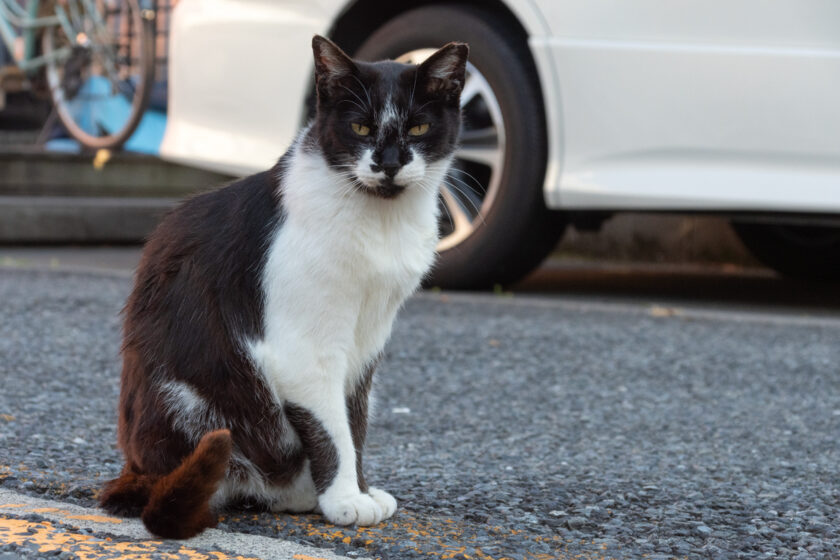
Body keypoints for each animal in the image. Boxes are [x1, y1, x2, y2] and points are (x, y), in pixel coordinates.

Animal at [100, 36, 466, 540]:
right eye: (360, 127)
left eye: (418, 127)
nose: (389, 164)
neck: (379, 222)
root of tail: (137, 469)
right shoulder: (304, 349)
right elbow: (333, 428)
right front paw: (344, 499)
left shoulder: (368, 341)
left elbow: (356, 420)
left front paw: (360, 490)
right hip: (191, 405)